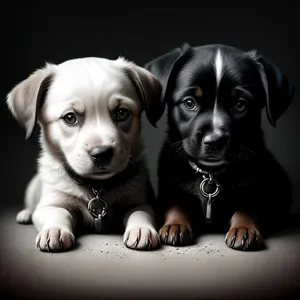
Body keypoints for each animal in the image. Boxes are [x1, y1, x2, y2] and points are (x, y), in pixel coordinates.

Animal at [5, 55, 164, 251]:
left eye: (122, 113)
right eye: (70, 118)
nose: (101, 153)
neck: (97, 187)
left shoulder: (140, 200)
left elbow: (140, 212)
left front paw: (141, 229)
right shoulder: (49, 204)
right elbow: (58, 212)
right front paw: (54, 230)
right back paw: (25, 214)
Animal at [145, 43, 296, 251]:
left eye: (240, 105)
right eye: (189, 103)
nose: (214, 141)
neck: (211, 174)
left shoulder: (259, 189)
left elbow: (248, 207)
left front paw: (244, 229)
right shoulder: (172, 188)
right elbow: (176, 206)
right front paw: (175, 225)